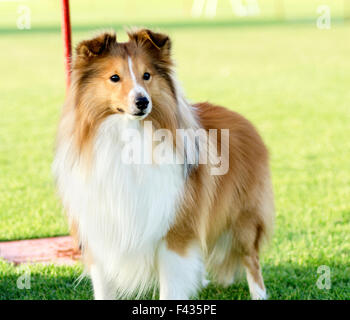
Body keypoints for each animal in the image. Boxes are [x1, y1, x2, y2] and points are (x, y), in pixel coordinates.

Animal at [53, 28, 274, 300]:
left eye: (146, 75)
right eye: (114, 77)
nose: (142, 101)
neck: (128, 138)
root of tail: (244, 120)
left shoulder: (174, 233)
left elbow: (171, 288)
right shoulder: (100, 235)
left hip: (244, 219)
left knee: (251, 259)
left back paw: (259, 294)